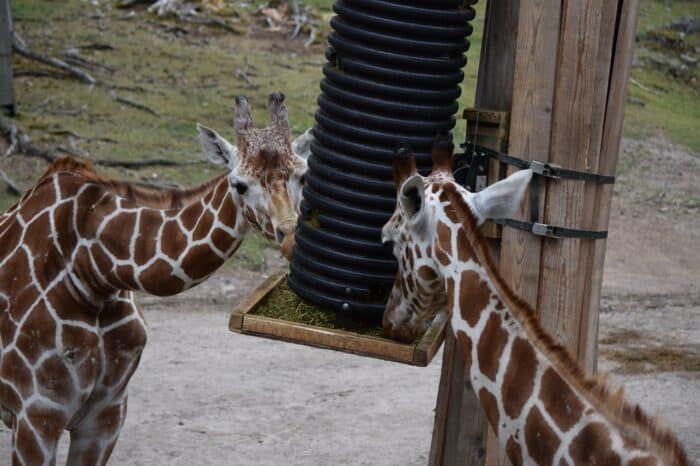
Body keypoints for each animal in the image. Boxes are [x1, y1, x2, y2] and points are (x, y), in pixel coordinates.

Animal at [0, 92, 312, 466]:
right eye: (239, 184)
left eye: (302, 176)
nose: (291, 239)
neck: (94, 272)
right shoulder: (37, 415)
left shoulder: (106, 414)